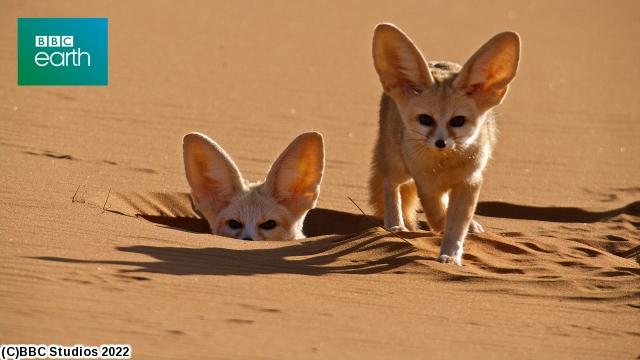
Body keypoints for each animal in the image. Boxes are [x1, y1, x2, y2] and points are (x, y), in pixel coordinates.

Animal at [370, 22, 520, 264]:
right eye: (425, 119)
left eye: (457, 121)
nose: (441, 143)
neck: (444, 165)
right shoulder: (425, 183)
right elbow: (438, 214)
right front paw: (442, 233)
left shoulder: (469, 181)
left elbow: (456, 222)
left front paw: (451, 254)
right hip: (400, 167)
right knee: (388, 183)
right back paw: (396, 226)